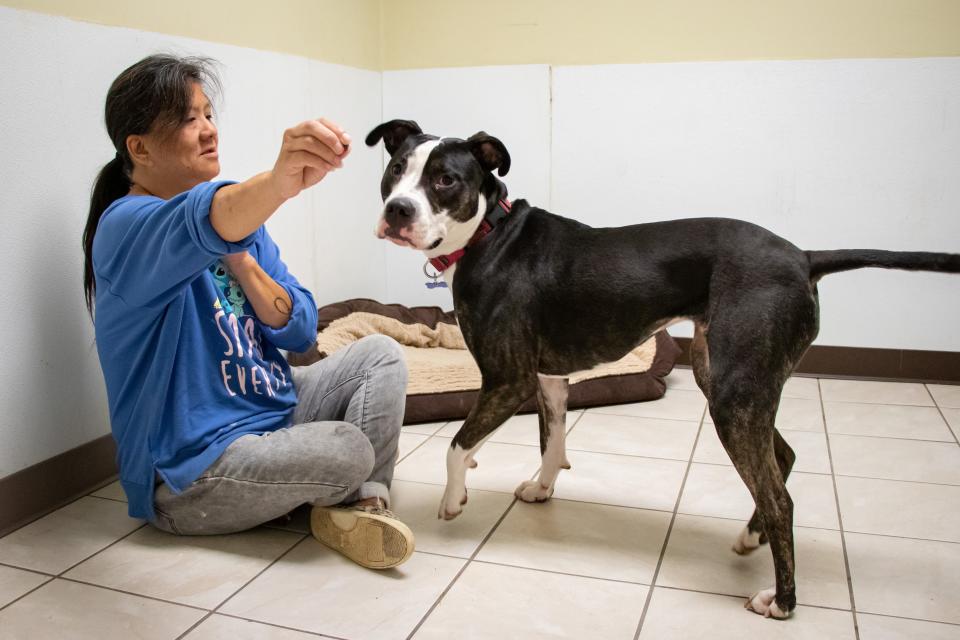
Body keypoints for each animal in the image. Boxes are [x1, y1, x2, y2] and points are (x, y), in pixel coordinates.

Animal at [364, 117, 956, 616]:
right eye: (395, 171)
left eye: (444, 180)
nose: (398, 210)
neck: (491, 234)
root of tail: (803, 256)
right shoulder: (549, 378)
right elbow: (552, 440)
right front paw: (542, 488)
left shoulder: (507, 380)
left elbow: (456, 445)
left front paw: (453, 499)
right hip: (730, 380)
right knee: (782, 458)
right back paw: (751, 536)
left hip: (734, 396)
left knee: (780, 497)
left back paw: (783, 600)